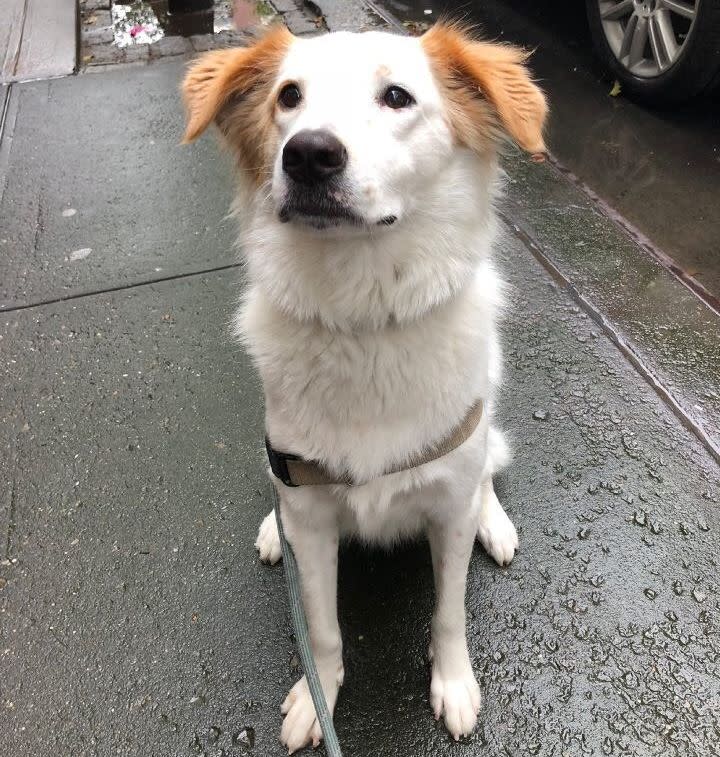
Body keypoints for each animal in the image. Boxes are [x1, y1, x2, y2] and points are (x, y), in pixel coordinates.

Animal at [181, 22, 544, 752]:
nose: (308, 154)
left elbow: (449, 611)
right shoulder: (314, 514)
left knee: (488, 470)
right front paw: (318, 696)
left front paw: (453, 682)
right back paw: (272, 530)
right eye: (288, 96)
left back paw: (494, 521)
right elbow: (322, 628)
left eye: (397, 96)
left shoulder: (447, 505)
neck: (363, 316)